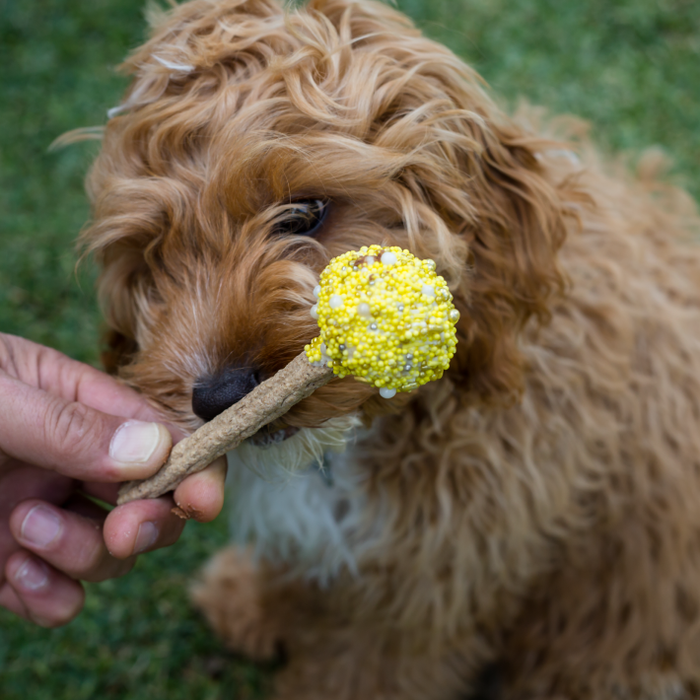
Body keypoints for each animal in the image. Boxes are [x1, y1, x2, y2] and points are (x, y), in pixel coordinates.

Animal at [78, 1, 700, 700]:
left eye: (305, 213)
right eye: (151, 252)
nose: (218, 398)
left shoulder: (428, 589)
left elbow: (362, 670)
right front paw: (250, 603)